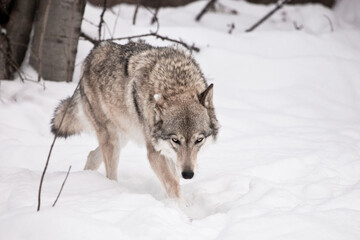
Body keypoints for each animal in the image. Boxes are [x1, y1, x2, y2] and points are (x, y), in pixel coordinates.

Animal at [51, 41, 218, 201]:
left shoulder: (169, 153)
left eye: (199, 140)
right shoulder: (155, 153)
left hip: (123, 136)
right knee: (109, 172)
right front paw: (180, 210)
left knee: (92, 155)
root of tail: (91, 55)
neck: (177, 85)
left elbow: (174, 181)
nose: (188, 175)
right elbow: (173, 184)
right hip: (112, 139)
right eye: (175, 140)